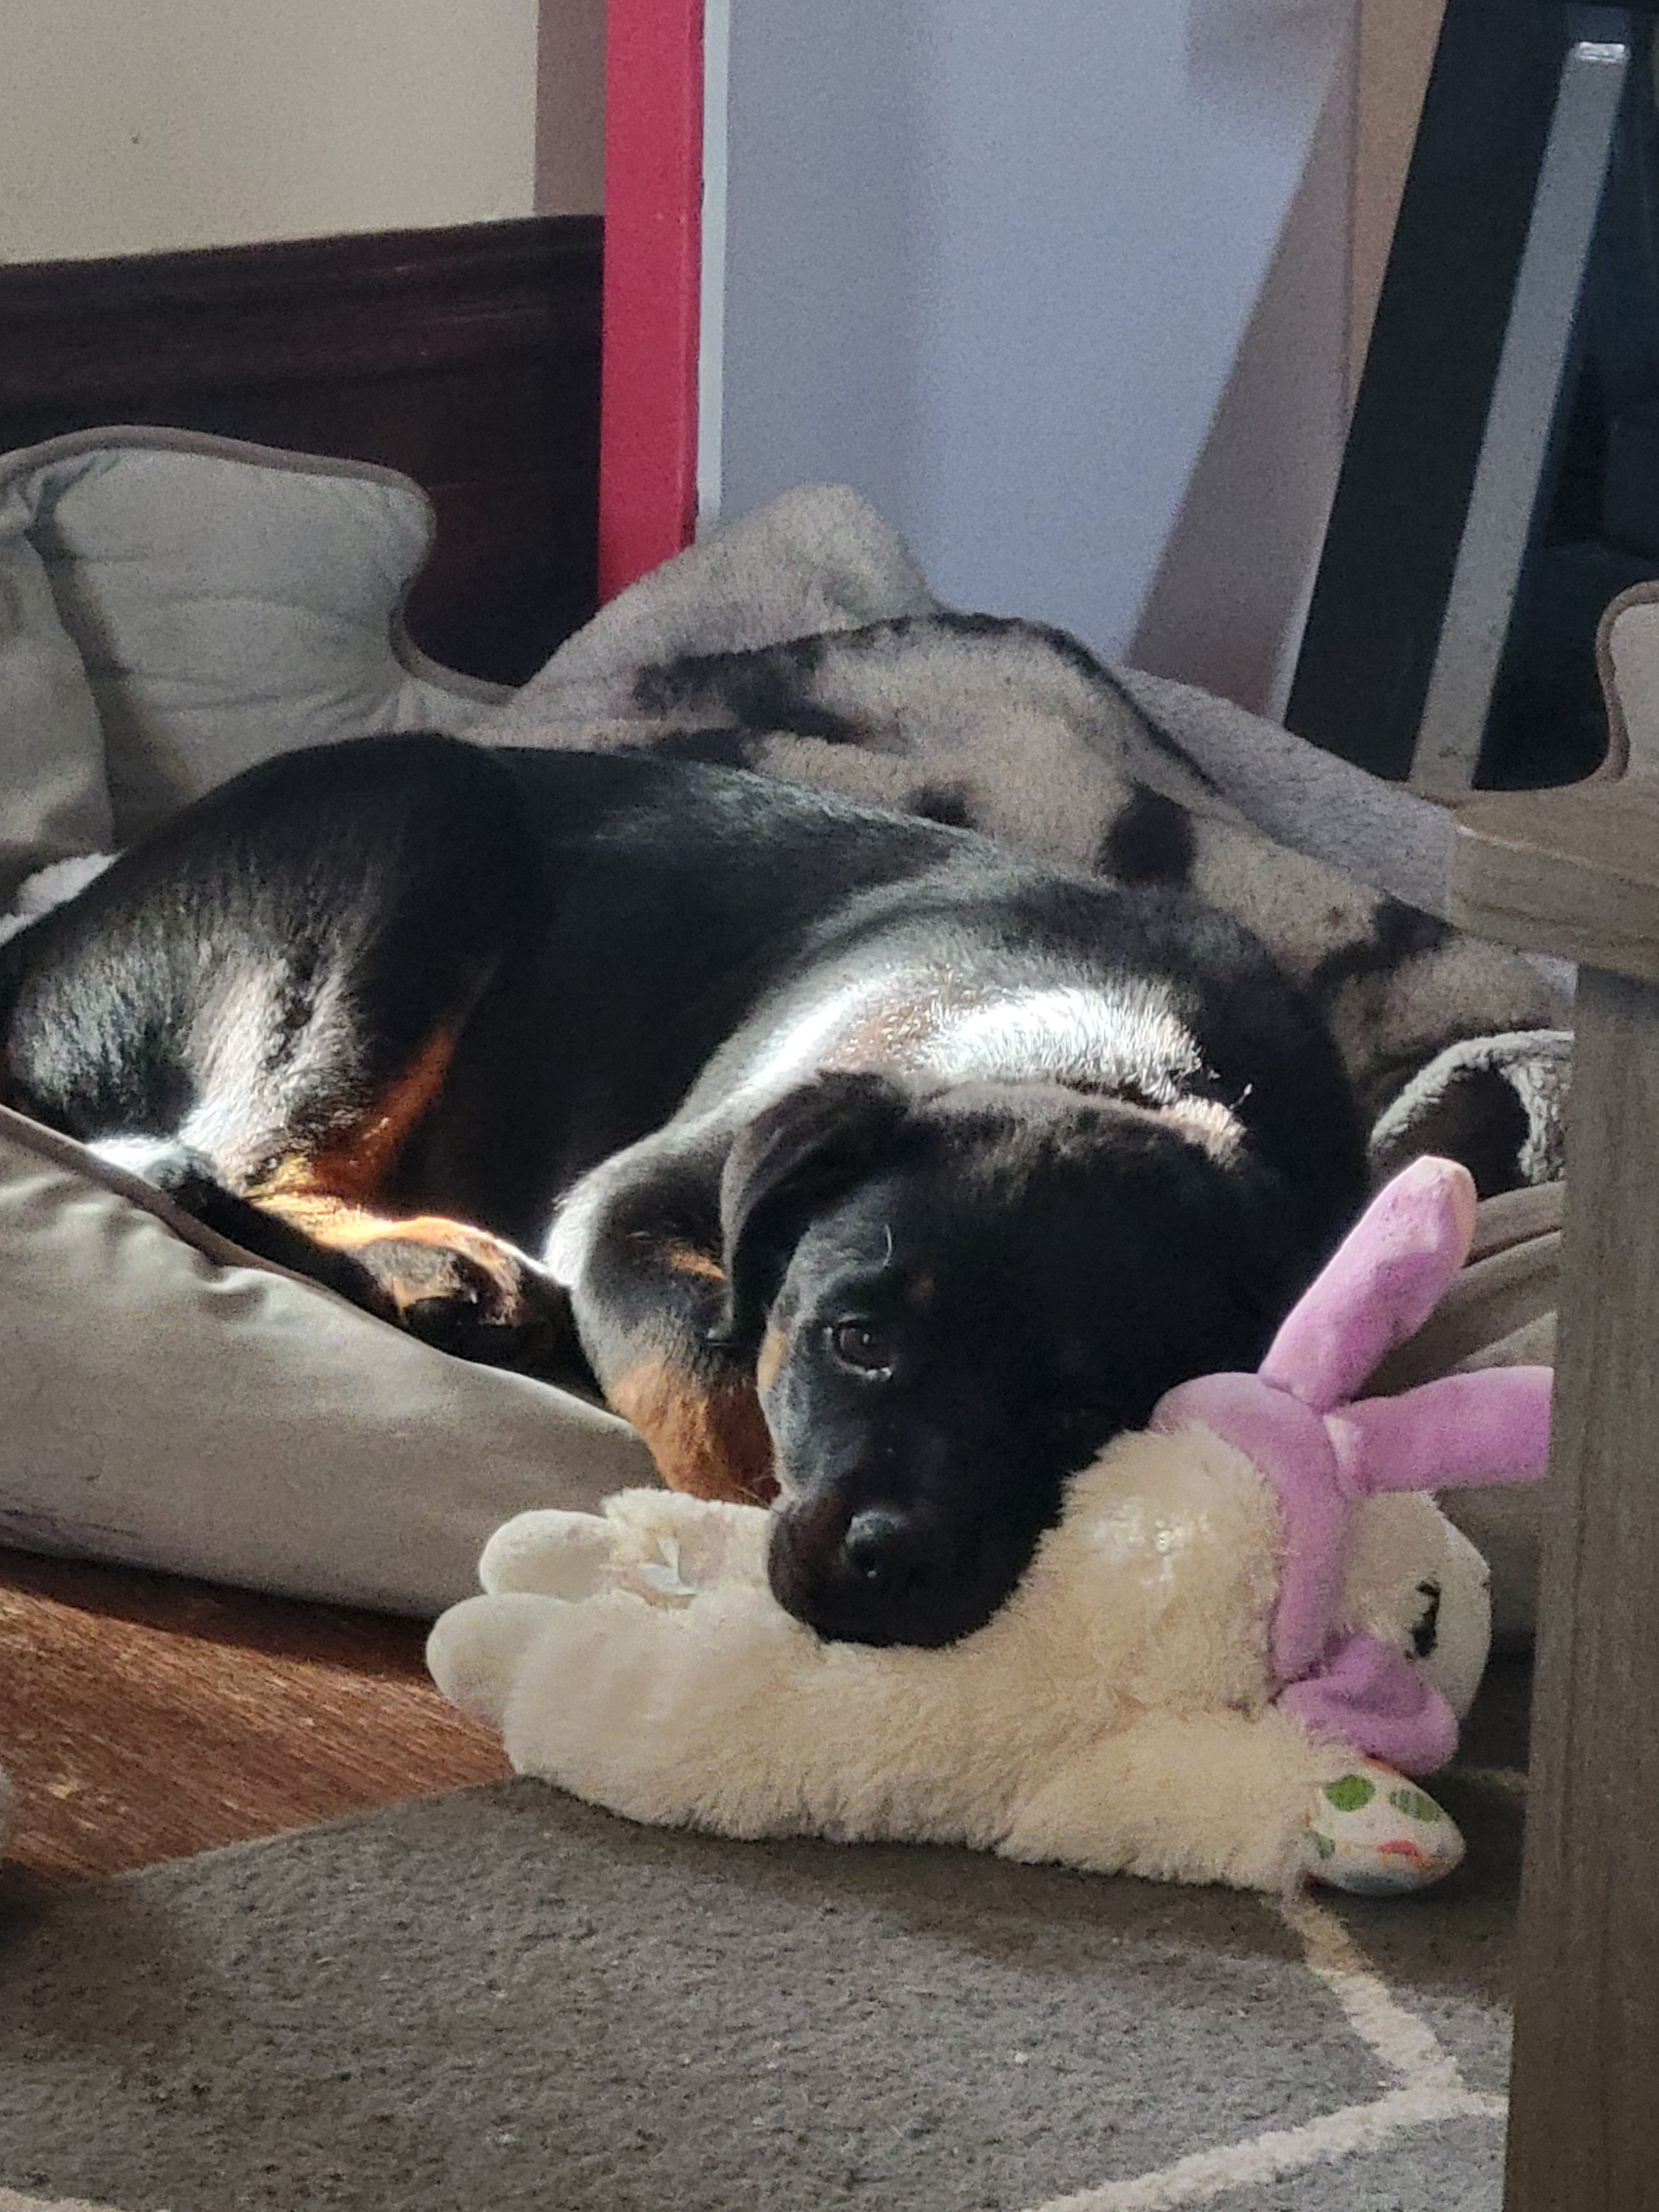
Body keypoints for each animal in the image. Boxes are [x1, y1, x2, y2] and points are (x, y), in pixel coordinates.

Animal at [0, 731, 1368, 1646]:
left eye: (1087, 1413)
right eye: (855, 1341)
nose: (889, 1565)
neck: (1111, 1057)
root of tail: (43, 943)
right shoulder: (636, 1204)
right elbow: (712, 1382)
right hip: (427, 815)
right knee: (230, 1159)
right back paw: (441, 1265)